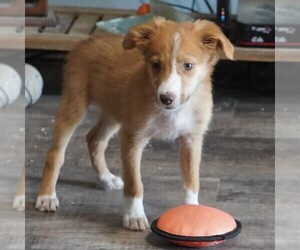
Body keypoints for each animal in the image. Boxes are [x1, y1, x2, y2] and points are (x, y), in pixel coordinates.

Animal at [34, 17, 232, 231]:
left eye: (188, 66)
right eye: (155, 64)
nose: (166, 98)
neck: (173, 110)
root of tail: (87, 41)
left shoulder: (191, 139)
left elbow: (192, 180)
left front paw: (192, 213)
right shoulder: (133, 138)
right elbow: (135, 183)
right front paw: (134, 215)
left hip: (115, 113)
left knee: (94, 139)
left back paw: (105, 178)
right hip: (75, 105)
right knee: (56, 153)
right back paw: (46, 196)